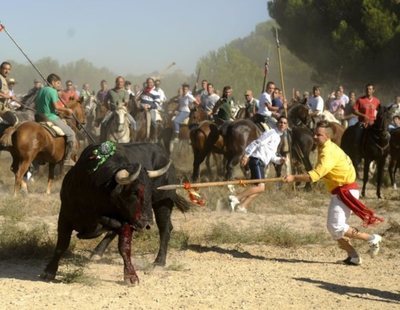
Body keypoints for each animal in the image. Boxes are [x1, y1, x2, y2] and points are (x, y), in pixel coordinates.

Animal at [41, 142, 191, 284]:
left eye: (150, 191)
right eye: (134, 192)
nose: (146, 222)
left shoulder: (126, 221)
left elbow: (124, 247)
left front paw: (131, 276)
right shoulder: (65, 215)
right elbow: (62, 245)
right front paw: (49, 271)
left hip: (162, 204)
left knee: (165, 229)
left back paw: (159, 262)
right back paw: (97, 252)